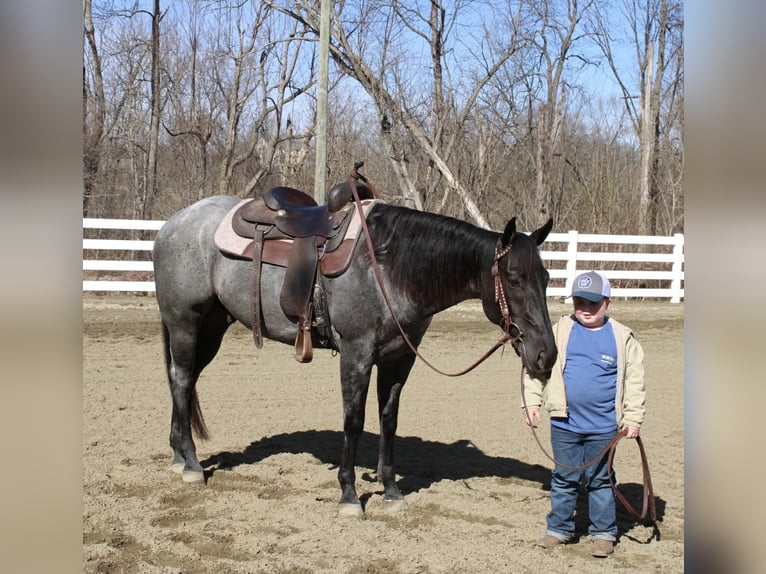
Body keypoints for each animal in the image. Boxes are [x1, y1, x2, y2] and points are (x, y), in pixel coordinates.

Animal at [152, 191, 557, 517]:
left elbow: (389, 420)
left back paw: (177, 455)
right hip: (185, 322)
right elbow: (354, 420)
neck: (390, 268)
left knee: (180, 380)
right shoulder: (356, 352)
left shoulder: (399, 358)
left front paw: (391, 491)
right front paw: (348, 495)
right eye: (514, 279)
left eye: (547, 278)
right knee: (183, 380)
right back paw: (191, 465)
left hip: (212, 326)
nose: (546, 355)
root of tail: (172, 224)